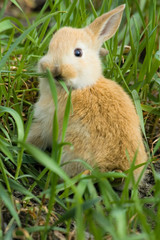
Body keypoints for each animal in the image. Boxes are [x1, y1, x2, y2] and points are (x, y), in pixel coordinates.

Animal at [27, 4, 148, 182]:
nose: (53, 69)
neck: (82, 86)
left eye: (78, 52)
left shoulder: (46, 121)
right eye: (49, 48)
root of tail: (115, 168)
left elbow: (37, 136)